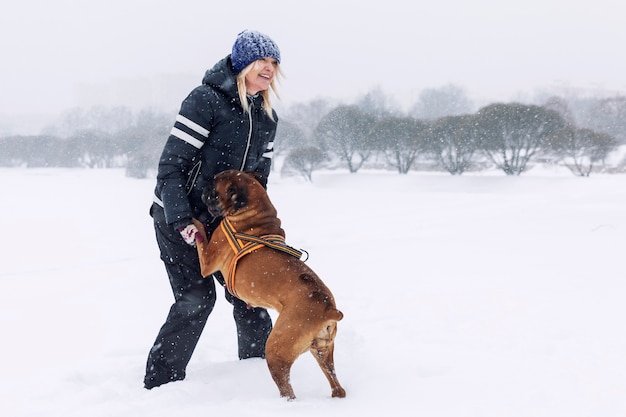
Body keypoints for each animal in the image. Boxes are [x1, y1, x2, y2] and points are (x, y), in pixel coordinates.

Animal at [193, 170, 344, 400]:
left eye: (214, 188)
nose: (204, 188)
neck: (253, 212)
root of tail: (329, 309)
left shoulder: (208, 259)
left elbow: (200, 231)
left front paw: (191, 222)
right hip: (323, 350)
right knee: (336, 384)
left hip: (276, 350)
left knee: (287, 389)